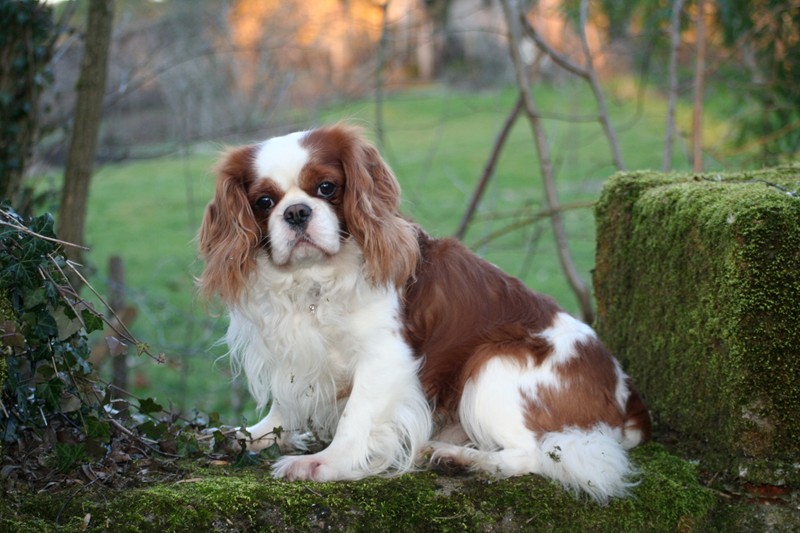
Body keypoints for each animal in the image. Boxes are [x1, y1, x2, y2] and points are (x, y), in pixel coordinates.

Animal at [198, 124, 648, 502]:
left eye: (326, 188)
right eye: (264, 202)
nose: (296, 213)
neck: (313, 280)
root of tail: (626, 400)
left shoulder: (385, 357)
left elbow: (356, 417)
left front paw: (324, 464)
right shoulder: (296, 353)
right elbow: (285, 404)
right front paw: (250, 435)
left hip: (491, 366)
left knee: (535, 454)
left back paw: (464, 460)